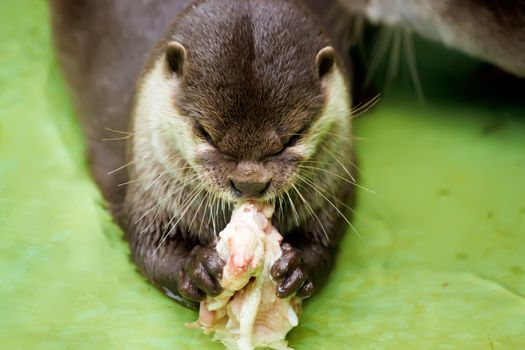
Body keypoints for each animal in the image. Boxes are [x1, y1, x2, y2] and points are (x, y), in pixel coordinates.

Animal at [50, 0, 356, 308]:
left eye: (293, 137)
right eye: (205, 132)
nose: (249, 183)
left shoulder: (333, 188)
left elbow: (324, 241)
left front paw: (297, 267)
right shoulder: (148, 191)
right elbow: (150, 248)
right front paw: (197, 268)